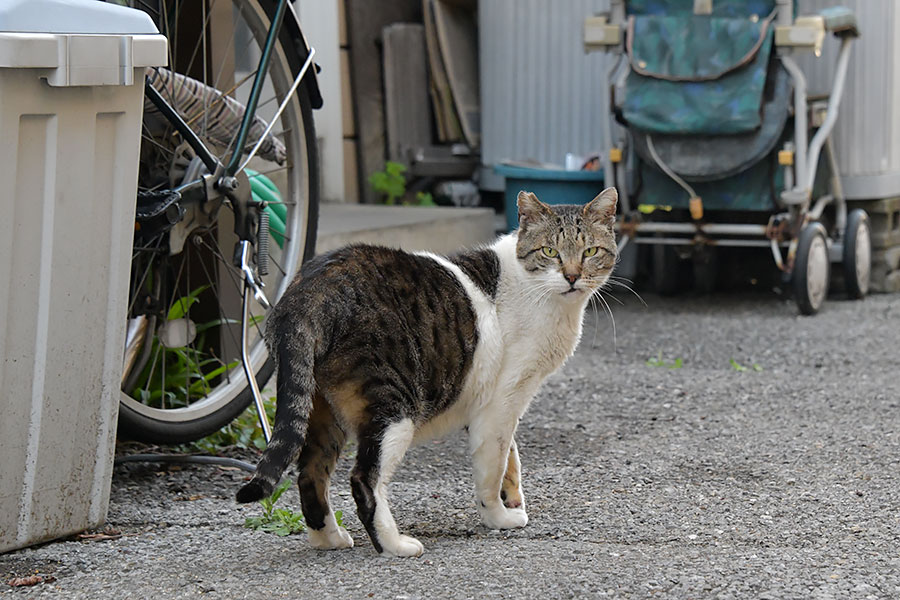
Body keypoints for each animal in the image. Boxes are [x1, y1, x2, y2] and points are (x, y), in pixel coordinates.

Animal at [239, 188, 620, 556]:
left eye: (589, 251)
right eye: (550, 251)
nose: (572, 277)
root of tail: (307, 290)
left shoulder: (500, 404)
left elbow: (510, 457)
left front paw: (512, 500)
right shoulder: (501, 401)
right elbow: (493, 466)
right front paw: (497, 516)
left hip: (322, 409)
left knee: (310, 472)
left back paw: (328, 539)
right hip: (393, 405)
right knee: (363, 478)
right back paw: (393, 545)